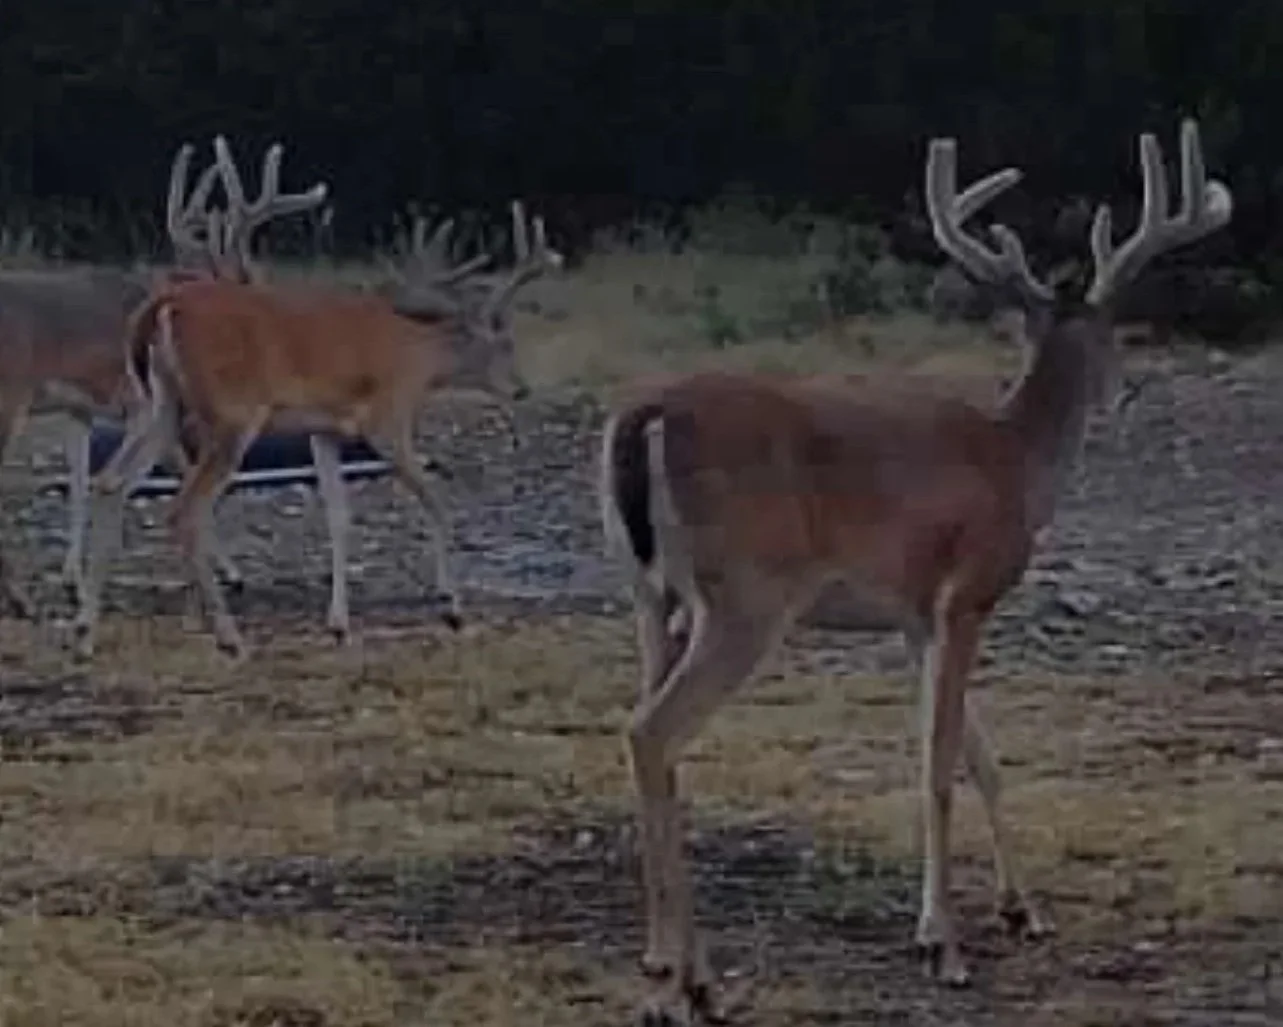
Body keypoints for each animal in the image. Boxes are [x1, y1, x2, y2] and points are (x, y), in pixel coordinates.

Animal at [0, 136, 325, 620]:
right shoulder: (139, 403)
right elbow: (173, 471)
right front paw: (229, 573)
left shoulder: (81, 409)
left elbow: (79, 482)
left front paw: (73, 578)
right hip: (10, 399)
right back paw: (19, 599)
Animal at [72, 198, 563, 661]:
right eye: (505, 345)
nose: (522, 388)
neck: (418, 357)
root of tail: (164, 306)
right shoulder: (388, 417)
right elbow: (436, 502)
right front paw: (453, 608)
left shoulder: (325, 430)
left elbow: (338, 518)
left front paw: (339, 625)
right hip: (232, 414)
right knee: (184, 509)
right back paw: (230, 639)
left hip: (161, 403)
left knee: (111, 481)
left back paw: (85, 632)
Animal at [597, 117, 1232, 1024]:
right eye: (1115, 329)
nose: (1127, 391)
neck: (1017, 462)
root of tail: (641, 416)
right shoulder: (965, 592)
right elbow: (936, 760)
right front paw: (943, 943)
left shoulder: (909, 616)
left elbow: (979, 754)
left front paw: (1022, 908)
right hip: (744, 596)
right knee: (651, 731)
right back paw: (697, 980)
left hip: (649, 595)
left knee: (648, 733)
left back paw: (656, 960)